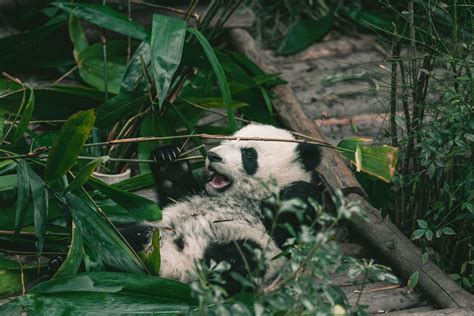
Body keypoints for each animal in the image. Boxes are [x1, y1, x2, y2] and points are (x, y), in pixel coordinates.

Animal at [124, 123, 322, 294]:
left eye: (248, 154)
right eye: (225, 142)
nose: (213, 156)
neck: (240, 198)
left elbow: (290, 233)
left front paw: (297, 194)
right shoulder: (192, 196)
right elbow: (174, 191)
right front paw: (168, 160)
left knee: (240, 259)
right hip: (155, 231)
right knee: (130, 236)